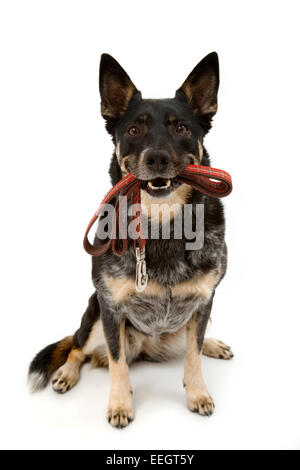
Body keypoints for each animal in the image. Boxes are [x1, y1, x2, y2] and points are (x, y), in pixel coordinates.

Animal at [28, 51, 233, 426]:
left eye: (181, 128)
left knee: (191, 342)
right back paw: (66, 373)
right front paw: (120, 404)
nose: (157, 158)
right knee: (78, 346)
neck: (163, 225)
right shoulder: (111, 308)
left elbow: (193, 355)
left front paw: (197, 393)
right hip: (94, 314)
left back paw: (212, 344)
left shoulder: (204, 301)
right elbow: (118, 363)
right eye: (134, 130)